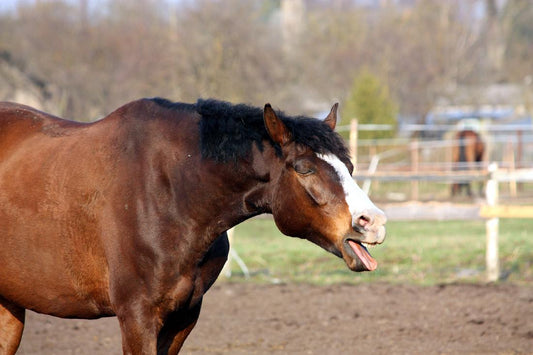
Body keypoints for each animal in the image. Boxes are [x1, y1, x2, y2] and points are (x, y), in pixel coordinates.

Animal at [0, 98, 384, 355]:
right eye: (304, 168)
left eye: (349, 166)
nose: (374, 222)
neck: (172, 191)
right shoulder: (137, 318)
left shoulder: (182, 318)